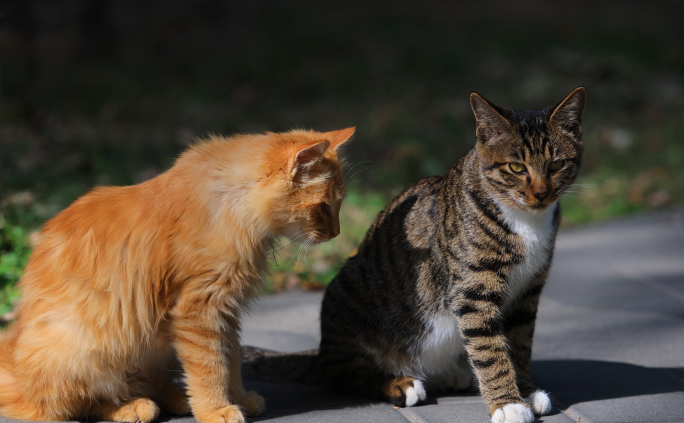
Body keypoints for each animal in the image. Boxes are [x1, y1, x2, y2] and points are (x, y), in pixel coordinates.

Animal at [0, 126, 352, 423]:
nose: (336, 233)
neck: (232, 205)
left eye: (339, 206)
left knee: (146, 385)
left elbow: (231, 361)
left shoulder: (226, 312)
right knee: (80, 405)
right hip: (84, 348)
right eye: (323, 207)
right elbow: (210, 368)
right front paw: (215, 409)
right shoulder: (200, 309)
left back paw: (178, 398)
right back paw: (135, 407)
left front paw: (236, 398)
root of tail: (16, 375)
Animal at [318, 88, 584, 422]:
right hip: (349, 298)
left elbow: (520, 343)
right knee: (341, 373)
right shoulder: (473, 291)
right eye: (516, 167)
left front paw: (524, 391)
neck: (525, 220)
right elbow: (490, 349)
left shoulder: (528, 291)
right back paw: (399, 383)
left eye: (556, 165)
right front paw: (508, 403)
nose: (540, 193)